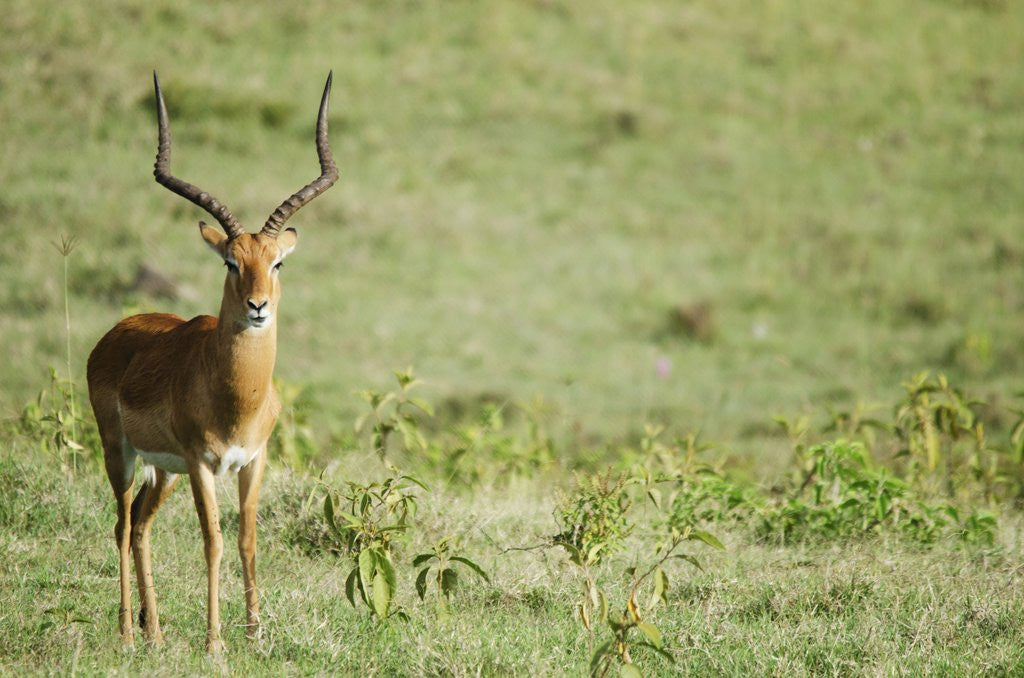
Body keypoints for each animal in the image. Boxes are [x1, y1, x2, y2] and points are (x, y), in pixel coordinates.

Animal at [87, 72, 338, 653]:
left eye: (277, 262)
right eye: (230, 262)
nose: (258, 306)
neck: (236, 397)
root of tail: (115, 334)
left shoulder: (253, 460)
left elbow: (246, 539)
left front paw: (255, 633)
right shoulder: (202, 464)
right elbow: (213, 541)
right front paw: (215, 642)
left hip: (162, 470)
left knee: (140, 526)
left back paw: (155, 634)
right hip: (122, 454)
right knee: (120, 523)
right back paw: (128, 632)